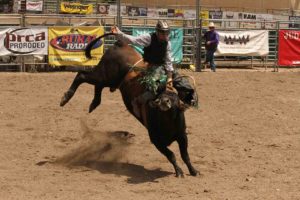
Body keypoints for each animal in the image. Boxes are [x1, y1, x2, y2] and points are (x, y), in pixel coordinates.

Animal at [59, 33, 198, 177]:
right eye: (160, 96)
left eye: (175, 98)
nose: (164, 101)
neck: (167, 121)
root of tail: (120, 43)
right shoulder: (156, 140)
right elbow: (171, 155)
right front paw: (179, 171)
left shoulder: (182, 136)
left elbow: (185, 155)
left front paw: (193, 170)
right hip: (104, 75)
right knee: (81, 75)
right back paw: (66, 98)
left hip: (109, 80)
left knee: (97, 86)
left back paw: (93, 103)